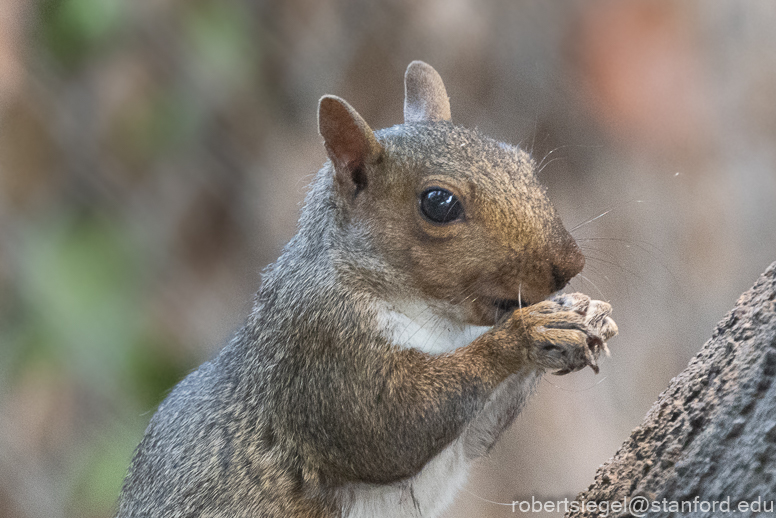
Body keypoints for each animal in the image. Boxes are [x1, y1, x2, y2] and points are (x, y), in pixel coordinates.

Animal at [115, 62, 620, 518]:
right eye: (439, 203)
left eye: (522, 162)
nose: (570, 265)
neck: (441, 320)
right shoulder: (319, 348)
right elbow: (391, 424)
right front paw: (527, 332)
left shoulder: (467, 433)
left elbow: (479, 434)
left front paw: (581, 312)